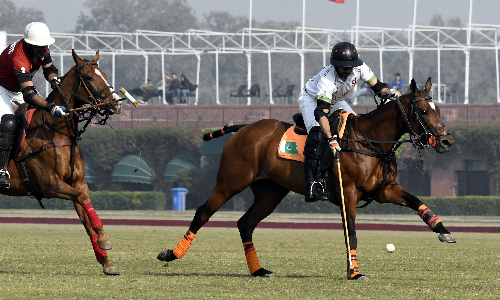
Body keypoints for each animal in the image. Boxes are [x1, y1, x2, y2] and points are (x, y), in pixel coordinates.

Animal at [2, 50, 122, 276]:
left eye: (105, 75)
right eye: (89, 78)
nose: (116, 104)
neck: (56, 129)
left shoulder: (77, 183)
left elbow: (86, 214)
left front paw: (107, 262)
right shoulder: (50, 185)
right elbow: (83, 201)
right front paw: (105, 239)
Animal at [158, 77, 456, 278]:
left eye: (439, 109)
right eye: (424, 111)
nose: (446, 142)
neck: (371, 142)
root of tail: (243, 128)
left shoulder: (384, 189)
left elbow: (416, 201)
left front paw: (443, 230)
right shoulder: (348, 193)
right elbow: (351, 233)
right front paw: (354, 271)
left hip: (270, 192)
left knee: (245, 223)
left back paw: (259, 270)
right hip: (230, 181)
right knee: (203, 212)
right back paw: (172, 253)